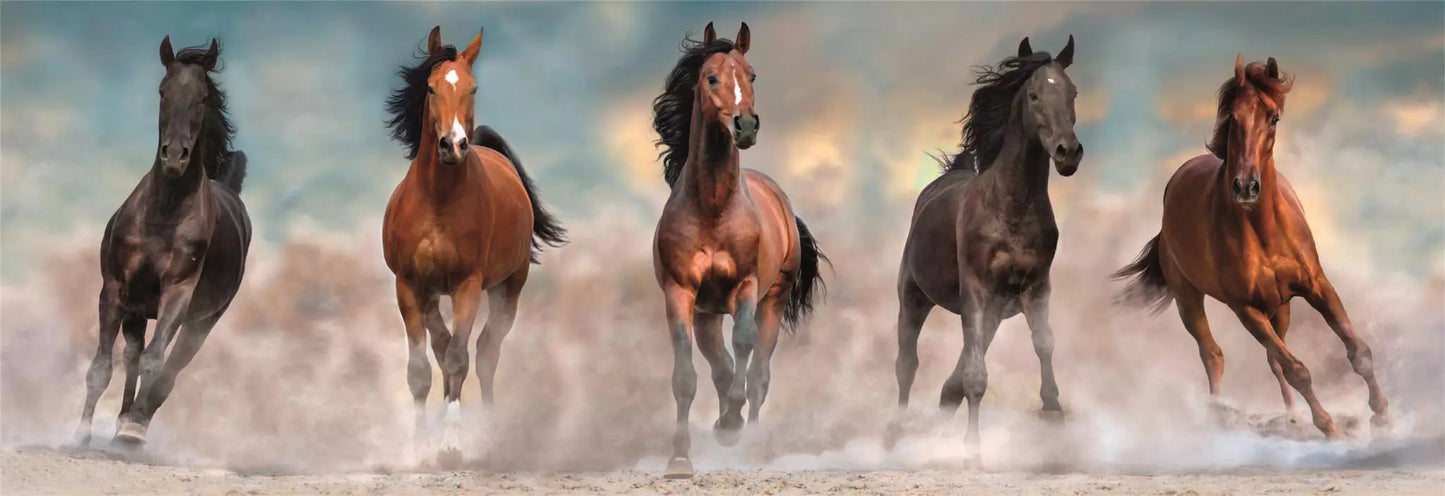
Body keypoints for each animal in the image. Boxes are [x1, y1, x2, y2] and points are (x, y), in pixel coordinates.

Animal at [76, 37, 252, 447]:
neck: (164, 214)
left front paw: (131, 430)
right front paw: (82, 433)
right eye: (162, 91)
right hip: (138, 310)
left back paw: (133, 426)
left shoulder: (178, 294)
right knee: (132, 356)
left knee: (169, 370)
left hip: (201, 323)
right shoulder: (115, 289)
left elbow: (156, 364)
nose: (174, 155)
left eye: (203, 97)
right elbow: (102, 366)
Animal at [381, 26, 566, 457]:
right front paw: (420, 445)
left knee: (484, 353)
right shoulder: (407, 286)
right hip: (433, 294)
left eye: (474, 88)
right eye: (431, 87)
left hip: (508, 289)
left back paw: (489, 432)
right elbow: (420, 368)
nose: (454, 144)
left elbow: (458, 359)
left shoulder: (468, 285)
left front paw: (451, 444)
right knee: (443, 345)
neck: (438, 200)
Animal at [649, 22, 827, 478]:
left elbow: (744, 346)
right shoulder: (681, 294)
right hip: (707, 313)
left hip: (774, 299)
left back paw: (751, 443)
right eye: (711, 77)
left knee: (759, 373)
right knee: (720, 366)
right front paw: (680, 459)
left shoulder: (746, 285)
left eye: (752, 75)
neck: (713, 208)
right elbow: (687, 376)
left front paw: (731, 423)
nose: (745, 126)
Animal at [892, 36, 1081, 466]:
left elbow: (1044, 343)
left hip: (994, 308)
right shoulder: (976, 290)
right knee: (907, 365)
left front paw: (1053, 415)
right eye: (1033, 95)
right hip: (914, 297)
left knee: (954, 375)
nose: (1069, 153)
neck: (1009, 207)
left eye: (1073, 93)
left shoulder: (1035, 286)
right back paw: (895, 437)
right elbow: (976, 377)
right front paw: (973, 453)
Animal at [1114, 55, 1390, 439]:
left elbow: (1357, 351)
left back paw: (1291, 416)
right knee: (1213, 355)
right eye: (1232, 117)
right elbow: (1297, 369)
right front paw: (1329, 427)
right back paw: (1220, 415)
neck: (1263, 231)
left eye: (1273, 117)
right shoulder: (1245, 309)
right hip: (1189, 300)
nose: (1246, 186)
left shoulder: (1317, 287)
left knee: (1272, 359)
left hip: (1281, 307)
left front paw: (1382, 415)